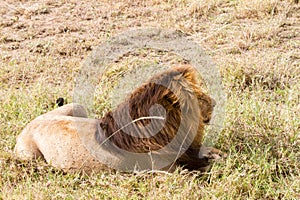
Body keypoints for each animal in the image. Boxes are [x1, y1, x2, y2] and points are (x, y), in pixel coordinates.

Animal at [14, 65, 225, 173]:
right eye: (198, 98)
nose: (215, 103)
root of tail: (29, 125)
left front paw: (219, 154)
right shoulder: (167, 172)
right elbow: (206, 169)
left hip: (78, 107)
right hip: (30, 155)